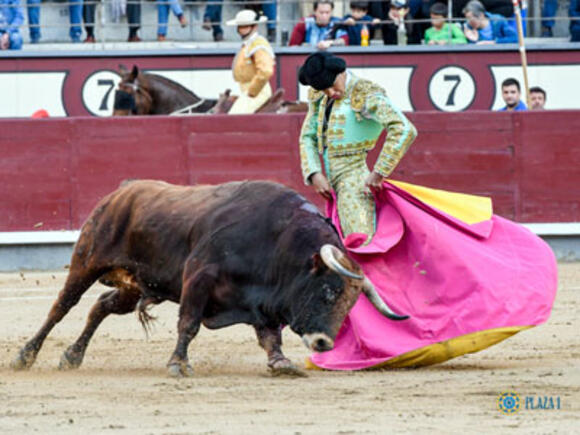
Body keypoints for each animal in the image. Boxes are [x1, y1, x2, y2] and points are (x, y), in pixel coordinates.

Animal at [10, 181, 408, 378]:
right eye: (327, 291)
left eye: (350, 303)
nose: (324, 343)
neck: (278, 243)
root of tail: (120, 192)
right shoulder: (198, 279)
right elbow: (188, 324)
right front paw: (178, 364)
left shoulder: (261, 303)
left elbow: (269, 336)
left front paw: (281, 363)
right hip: (87, 261)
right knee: (62, 307)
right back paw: (25, 356)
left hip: (135, 285)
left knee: (100, 307)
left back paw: (72, 356)